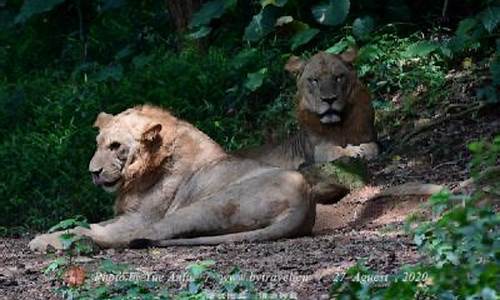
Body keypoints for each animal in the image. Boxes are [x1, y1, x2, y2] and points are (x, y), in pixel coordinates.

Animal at [28, 105, 312, 251]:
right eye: (98, 145)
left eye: (116, 146)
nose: (93, 172)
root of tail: (305, 202)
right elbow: (89, 223)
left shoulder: (138, 217)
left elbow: (90, 227)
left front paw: (47, 238)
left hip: (205, 205)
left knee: (134, 237)